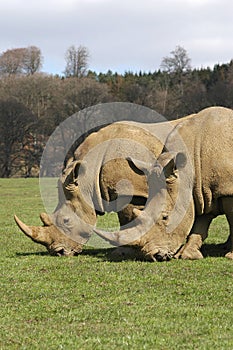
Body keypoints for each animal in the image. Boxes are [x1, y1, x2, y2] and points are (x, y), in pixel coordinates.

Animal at [14, 116, 195, 256]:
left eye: (66, 221)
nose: (58, 252)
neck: (87, 175)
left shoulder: (132, 191)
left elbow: (128, 218)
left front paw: (123, 252)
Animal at [95, 106, 233, 260]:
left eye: (165, 217)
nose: (156, 256)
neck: (189, 170)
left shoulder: (226, 190)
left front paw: (230, 256)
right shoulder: (201, 191)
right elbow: (200, 223)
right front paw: (187, 255)